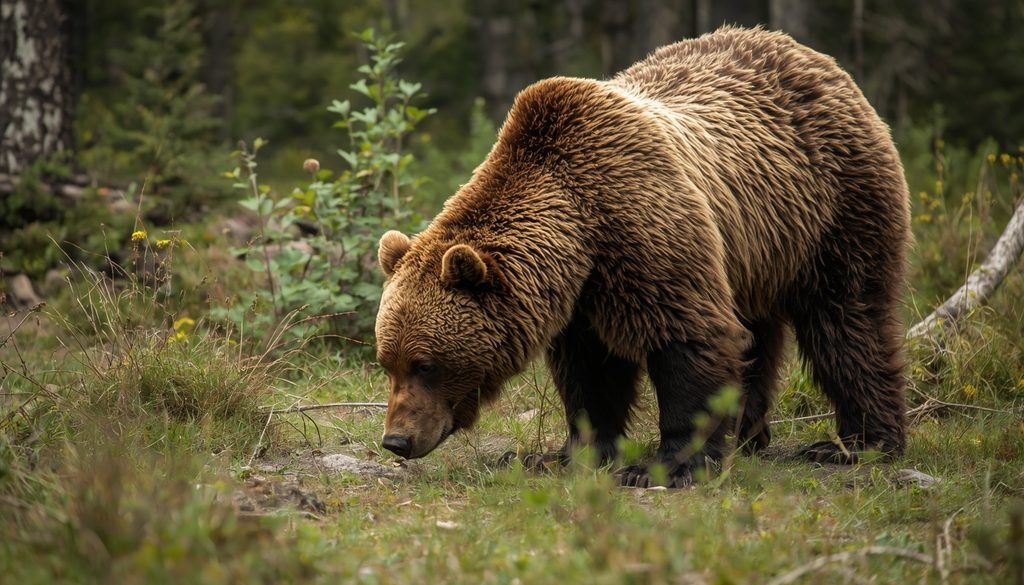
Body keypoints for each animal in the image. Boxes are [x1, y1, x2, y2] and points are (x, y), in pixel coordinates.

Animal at [374, 26, 909, 488]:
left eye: (426, 364)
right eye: (387, 362)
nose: (396, 440)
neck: (579, 230)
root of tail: (819, 60)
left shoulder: (644, 230)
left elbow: (689, 339)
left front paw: (667, 465)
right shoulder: (582, 296)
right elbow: (590, 374)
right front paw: (561, 454)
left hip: (834, 209)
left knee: (847, 321)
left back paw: (858, 443)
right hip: (756, 249)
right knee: (760, 334)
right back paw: (750, 437)